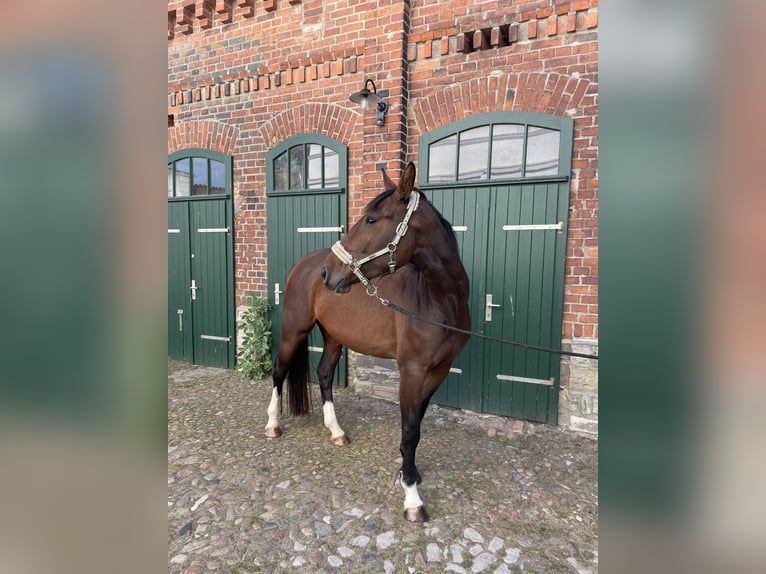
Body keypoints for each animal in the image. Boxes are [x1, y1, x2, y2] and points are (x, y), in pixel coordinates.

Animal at [268, 161, 474, 520]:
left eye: (372, 220)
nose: (328, 273)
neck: (438, 300)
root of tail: (304, 264)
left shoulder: (439, 371)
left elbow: (417, 423)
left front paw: (409, 470)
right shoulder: (411, 371)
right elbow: (410, 429)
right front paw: (411, 496)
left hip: (334, 337)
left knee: (324, 375)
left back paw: (336, 432)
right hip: (294, 331)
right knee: (278, 370)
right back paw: (272, 425)